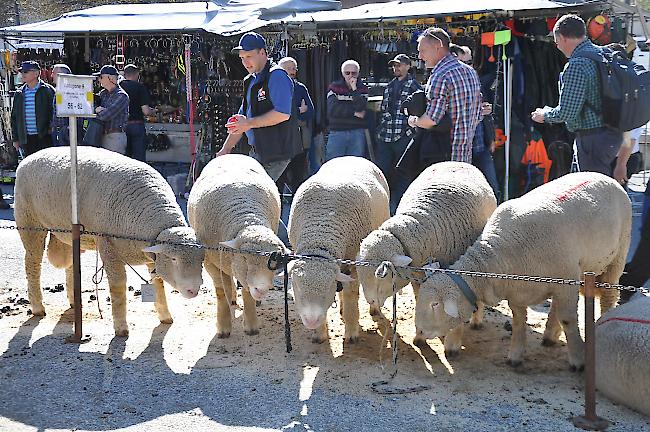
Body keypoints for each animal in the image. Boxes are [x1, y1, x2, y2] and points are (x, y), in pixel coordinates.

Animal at [15, 147, 204, 336]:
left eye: (201, 261)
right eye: (174, 259)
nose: (193, 290)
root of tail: (30, 156)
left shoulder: (153, 254)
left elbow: (158, 283)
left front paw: (165, 316)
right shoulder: (107, 244)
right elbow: (118, 284)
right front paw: (121, 327)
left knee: (71, 263)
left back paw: (74, 301)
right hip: (30, 222)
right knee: (32, 263)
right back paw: (37, 306)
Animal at [187, 155, 288, 338]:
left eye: (274, 263)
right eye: (245, 259)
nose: (262, 289)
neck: (247, 219)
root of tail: (233, 154)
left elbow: (247, 292)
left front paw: (251, 325)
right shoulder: (210, 262)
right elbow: (221, 291)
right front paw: (223, 325)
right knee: (227, 284)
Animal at [286, 157, 388, 342]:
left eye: (328, 288)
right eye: (296, 286)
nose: (311, 321)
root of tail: (351, 157)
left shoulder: (353, 263)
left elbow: (351, 296)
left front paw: (352, 332)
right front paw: (319, 333)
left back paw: (374, 309)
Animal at [356, 160, 494, 352]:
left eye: (380, 278)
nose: (371, 301)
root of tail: (456, 161)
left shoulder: (455, 276)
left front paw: (452, 344)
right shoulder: (418, 277)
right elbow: (420, 301)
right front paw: (420, 337)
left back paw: (476, 321)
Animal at [412, 170, 632, 370]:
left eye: (434, 304)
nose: (419, 333)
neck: (498, 256)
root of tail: (606, 176)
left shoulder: (566, 281)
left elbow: (568, 319)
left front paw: (579, 359)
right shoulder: (519, 292)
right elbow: (519, 322)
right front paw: (515, 356)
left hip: (618, 254)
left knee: (608, 296)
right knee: (555, 306)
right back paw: (550, 336)